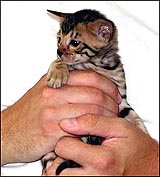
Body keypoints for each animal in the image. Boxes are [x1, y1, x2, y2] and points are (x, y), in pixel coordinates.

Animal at [41, 8, 149, 176]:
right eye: (59, 40)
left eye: (74, 42)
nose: (58, 51)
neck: (99, 65)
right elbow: (62, 63)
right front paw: (57, 73)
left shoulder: (121, 99)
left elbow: (132, 115)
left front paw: (143, 133)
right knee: (49, 159)